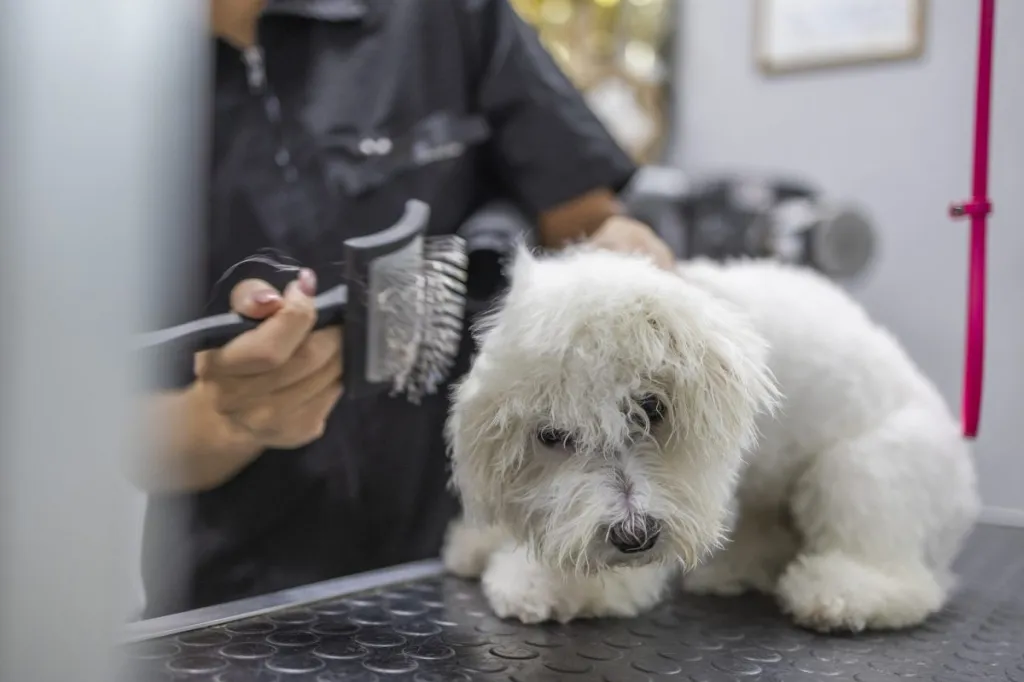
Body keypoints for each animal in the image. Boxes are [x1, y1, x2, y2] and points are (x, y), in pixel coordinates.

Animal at [444, 245, 978, 630]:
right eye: (553, 434)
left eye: (650, 408)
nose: (635, 537)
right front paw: (481, 543)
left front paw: (550, 586)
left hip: (862, 471)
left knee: (901, 578)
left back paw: (838, 592)